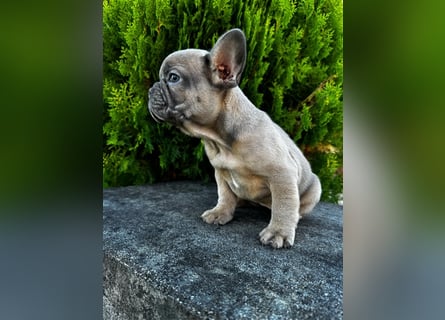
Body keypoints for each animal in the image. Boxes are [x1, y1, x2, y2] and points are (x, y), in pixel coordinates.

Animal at [148, 28, 320, 248]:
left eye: (173, 77)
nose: (151, 89)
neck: (220, 139)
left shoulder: (282, 173)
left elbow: (284, 204)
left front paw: (278, 232)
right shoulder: (221, 172)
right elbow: (226, 195)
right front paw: (221, 212)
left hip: (315, 188)